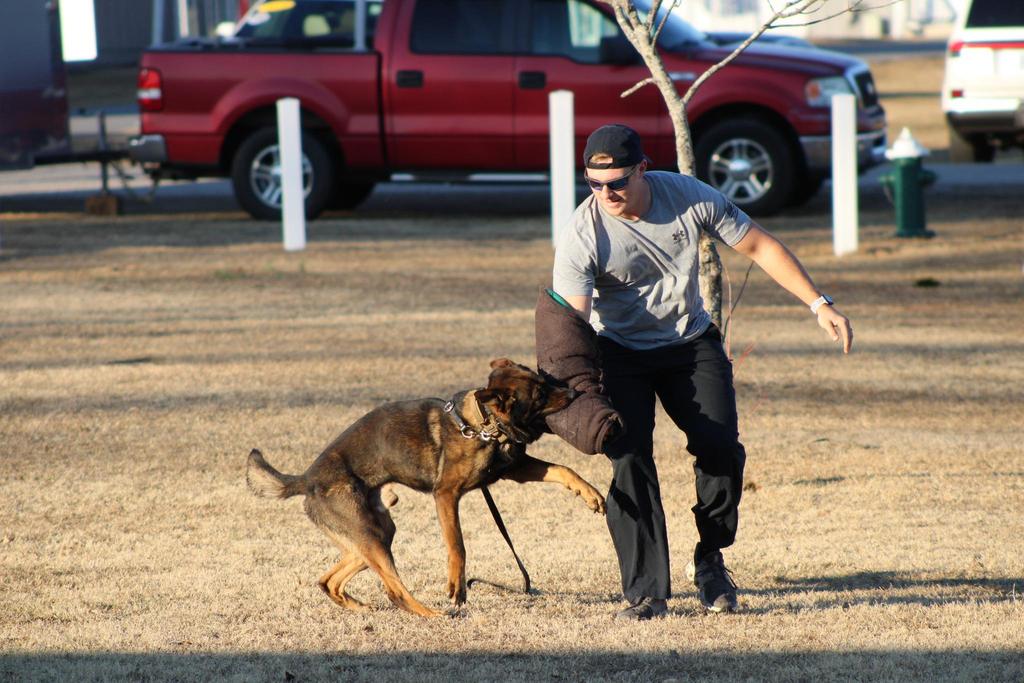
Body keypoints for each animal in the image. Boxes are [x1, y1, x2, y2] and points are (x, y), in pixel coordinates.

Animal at [246, 358, 606, 617]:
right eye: (540, 394)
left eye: (545, 381)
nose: (575, 393)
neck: (482, 425)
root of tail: (307, 478)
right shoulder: (446, 496)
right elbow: (457, 545)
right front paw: (457, 586)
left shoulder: (514, 469)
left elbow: (563, 469)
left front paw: (590, 495)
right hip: (371, 535)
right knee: (393, 590)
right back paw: (432, 614)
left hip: (375, 533)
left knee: (330, 580)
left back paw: (357, 606)